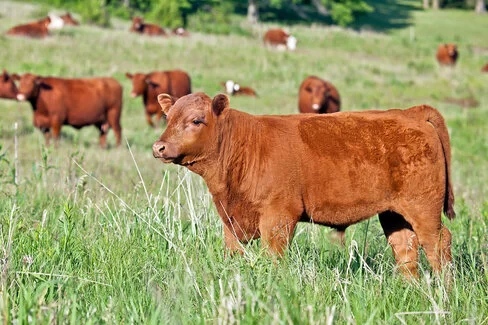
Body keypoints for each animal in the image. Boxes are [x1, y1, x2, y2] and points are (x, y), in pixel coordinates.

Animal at [154, 92, 456, 278]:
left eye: (196, 120)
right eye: (168, 118)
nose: (159, 147)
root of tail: (410, 113)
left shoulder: (278, 217)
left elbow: (274, 256)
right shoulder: (231, 220)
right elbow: (233, 253)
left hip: (423, 208)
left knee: (438, 243)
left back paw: (444, 291)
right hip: (394, 213)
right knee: (405, 248)